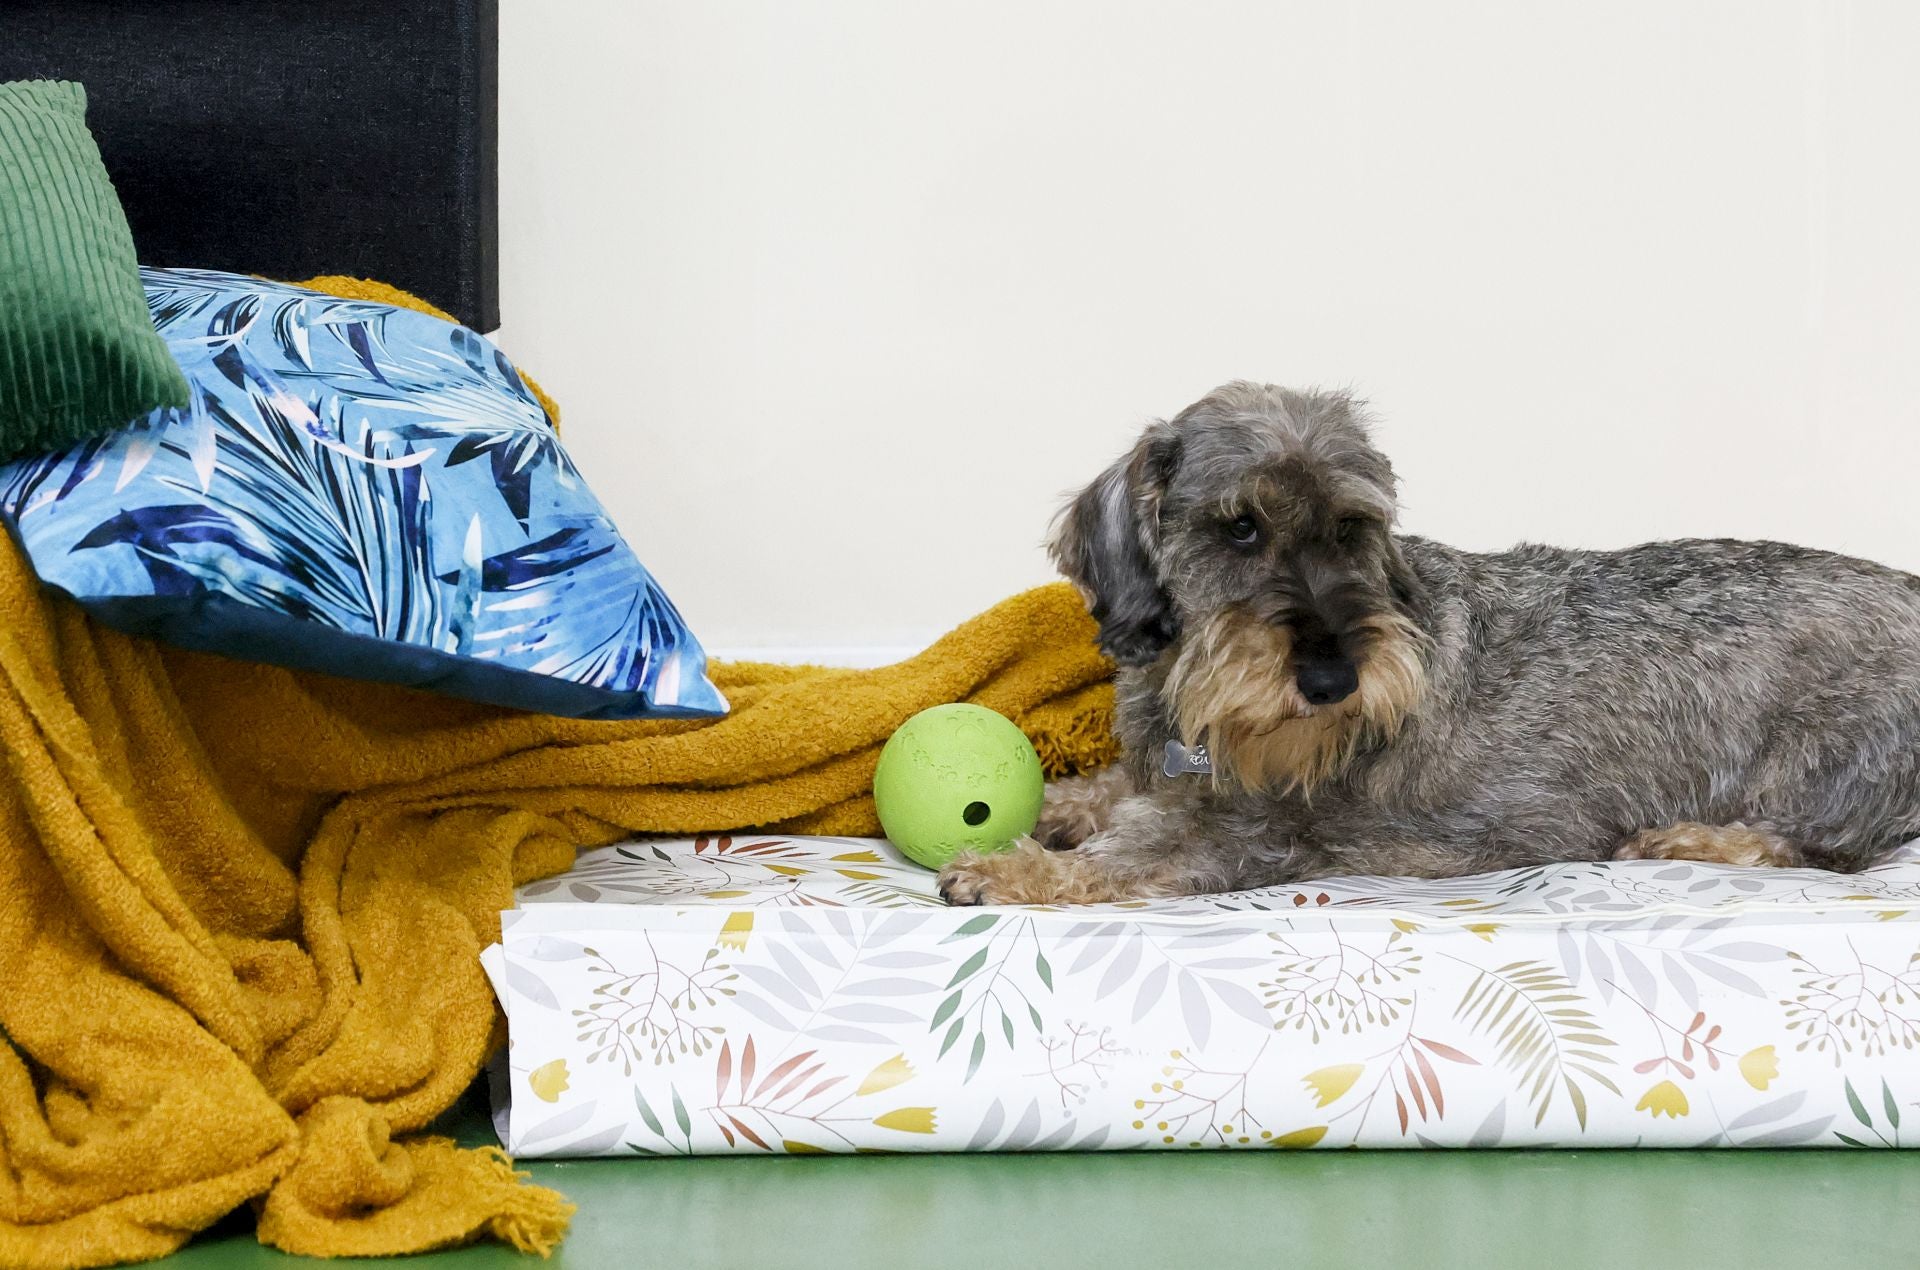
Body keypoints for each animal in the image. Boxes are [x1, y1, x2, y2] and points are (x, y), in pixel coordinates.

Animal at [936, 382, 1920, 906]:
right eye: (1241, 528)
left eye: (1353, 527)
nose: (1334, 679)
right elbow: (1120, 791)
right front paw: (1067, 803)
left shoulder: (1249, 837)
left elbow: (1134, 856)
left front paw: (1006, 871)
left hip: (1826, 766)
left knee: (1827, 848)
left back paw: (1691, 840)